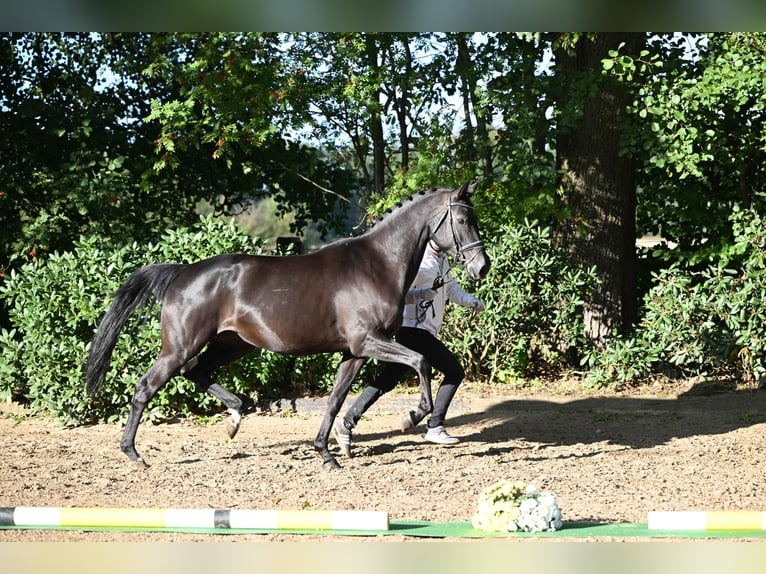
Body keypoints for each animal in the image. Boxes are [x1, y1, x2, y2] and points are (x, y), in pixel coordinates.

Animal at [85, 182, 492, 470]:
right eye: (462, 220)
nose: (482, 267)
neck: (376, 264)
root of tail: (182, 272)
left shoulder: (354, 352)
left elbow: (335, 400)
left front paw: (327, 453)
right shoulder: (368, 341)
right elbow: (420, 362)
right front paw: (413, 415)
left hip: (231, 344)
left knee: (197, 371)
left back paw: (234, 418)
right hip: (181, 346)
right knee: (146, 387)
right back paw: (134, 454)